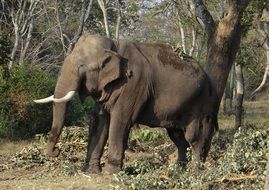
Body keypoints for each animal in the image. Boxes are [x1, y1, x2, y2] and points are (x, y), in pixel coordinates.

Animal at [34, 33, 218, 174]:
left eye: (82, 67)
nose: (56, 152)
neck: (114, 46)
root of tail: (210, 81)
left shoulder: (133, 84)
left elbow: (120, 121)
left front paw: (111, 174)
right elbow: (99, 121)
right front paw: (90, 172)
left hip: (201, 104)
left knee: (195, 136)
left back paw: (195, 171)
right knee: (178, 137)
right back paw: (178, 170)